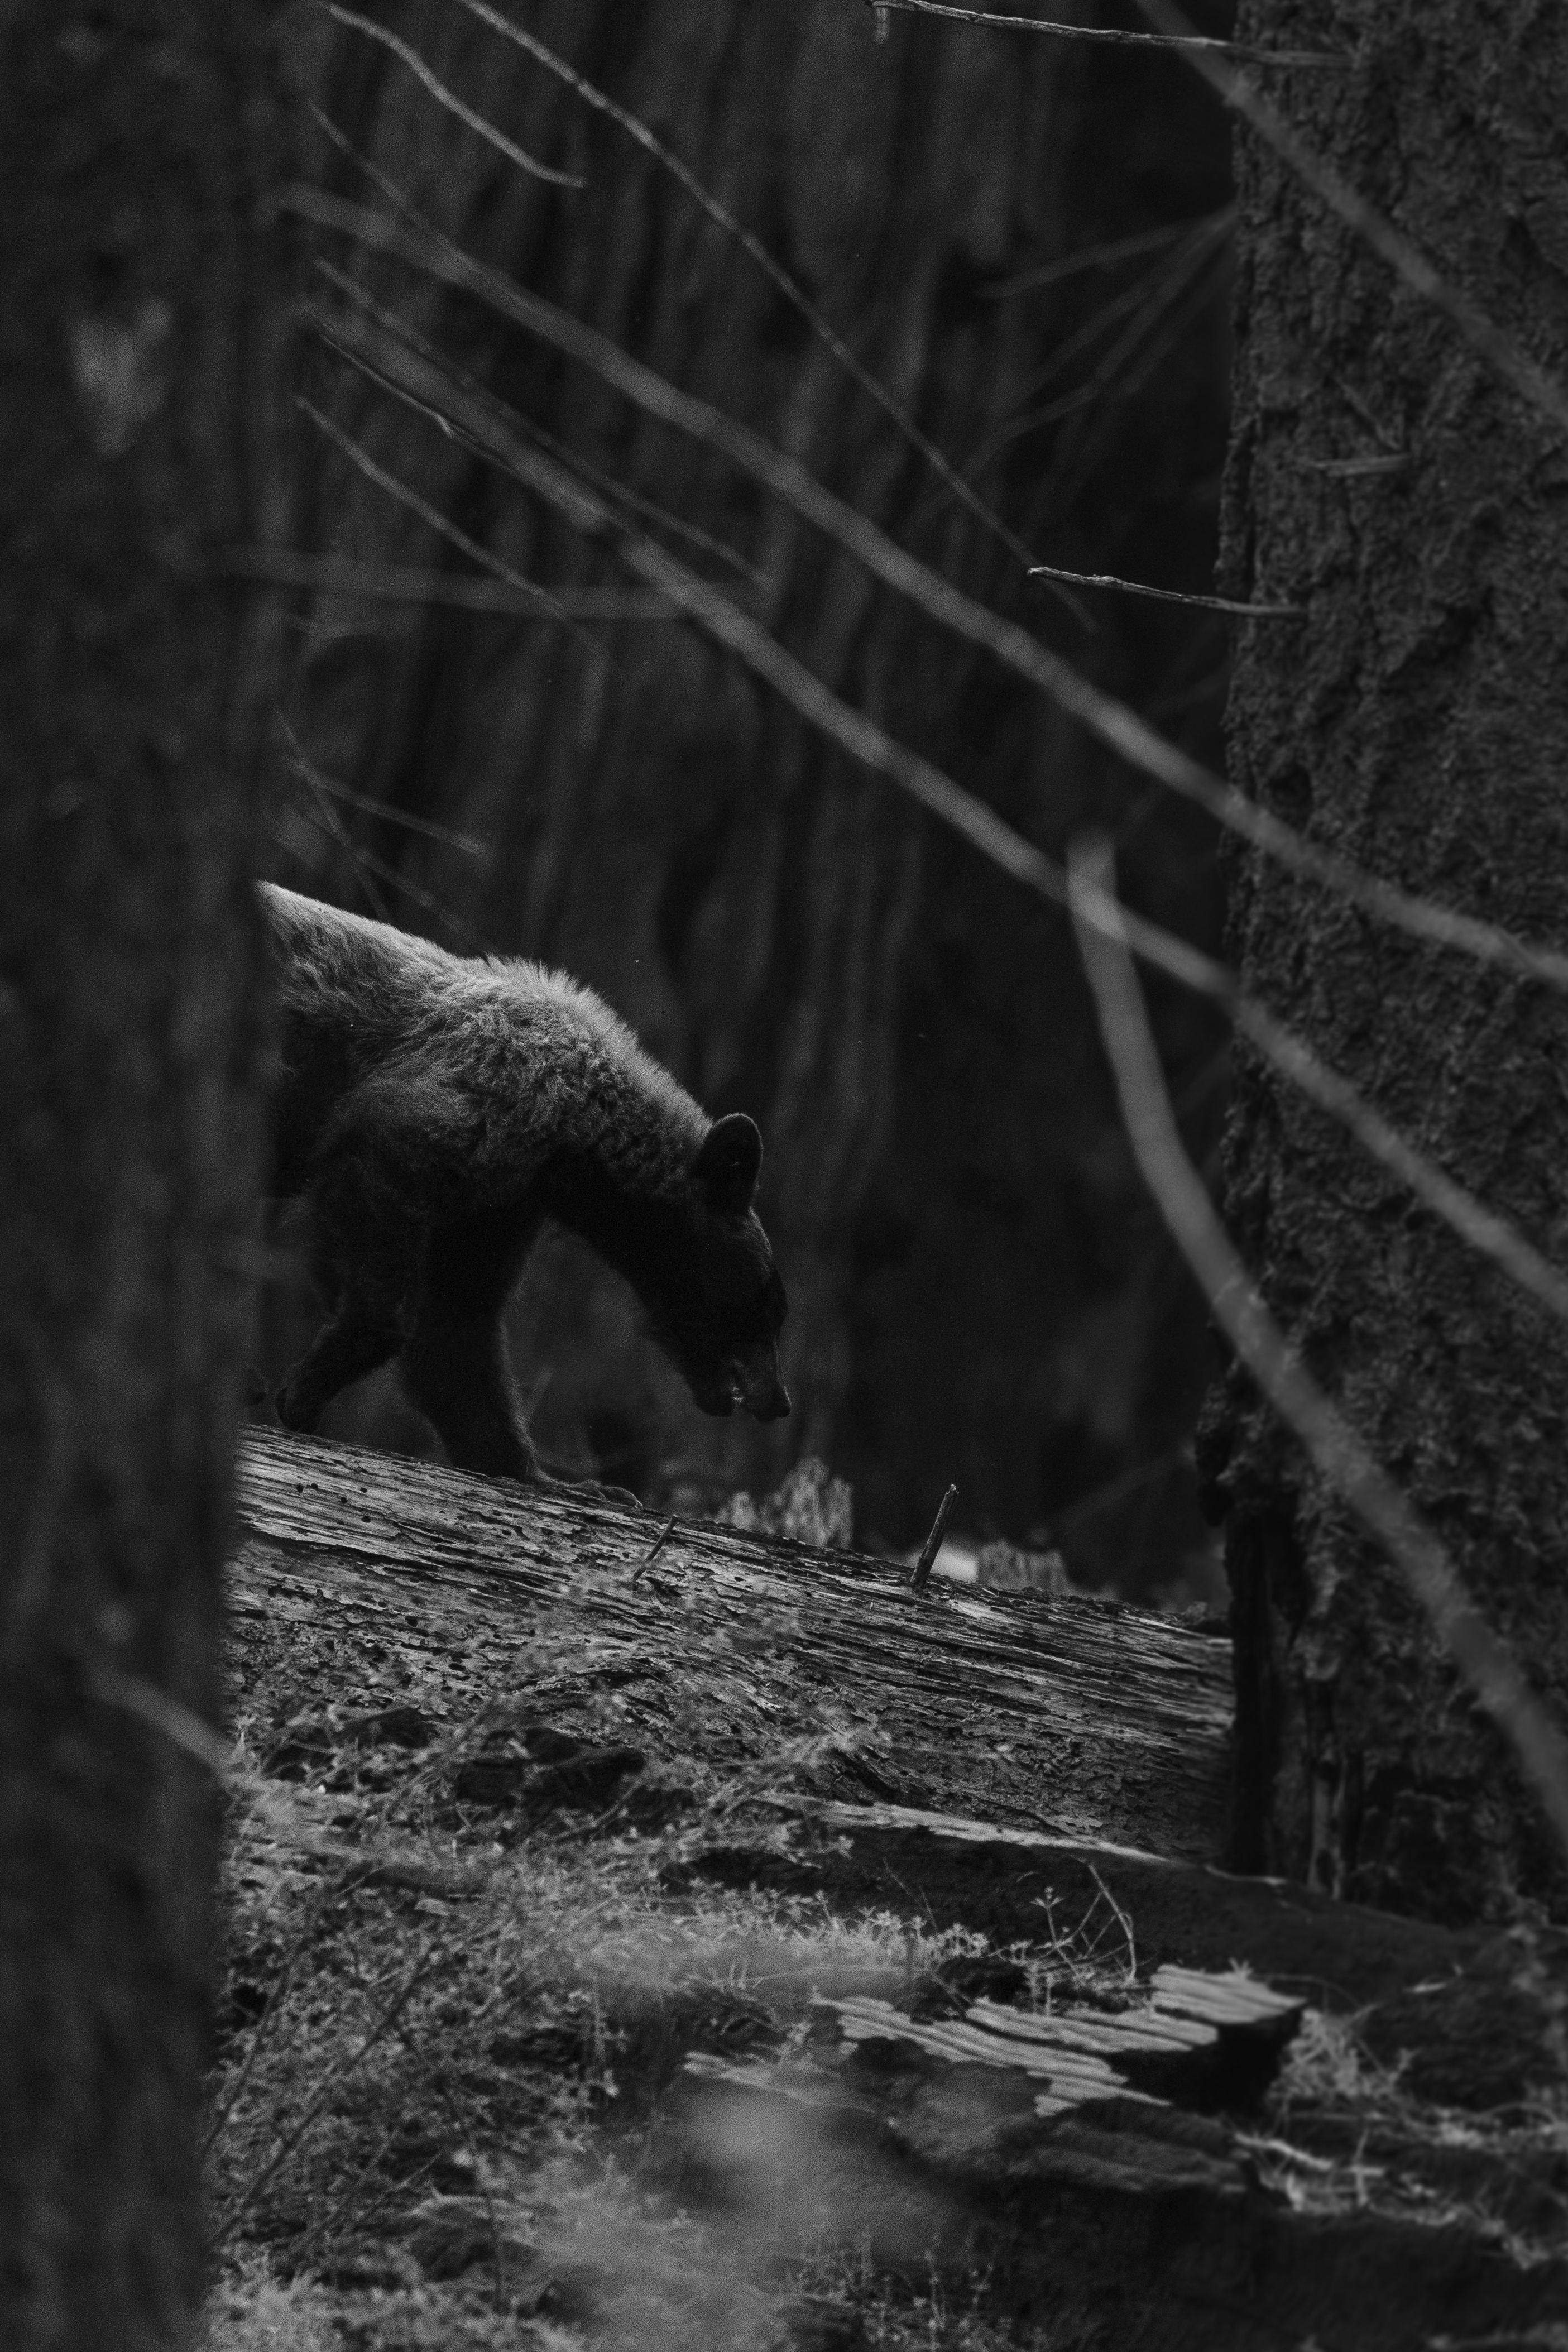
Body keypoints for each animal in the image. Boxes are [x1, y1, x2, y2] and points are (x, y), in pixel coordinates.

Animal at [262, 884, 790, 1505]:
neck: (571, 1142)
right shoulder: (477, 1103)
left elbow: (458, 1321)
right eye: (765, 1304)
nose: (778, 1400)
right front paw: (303, 1392)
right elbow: (380, 1199)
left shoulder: (498, 1206)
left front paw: (564, 1479)